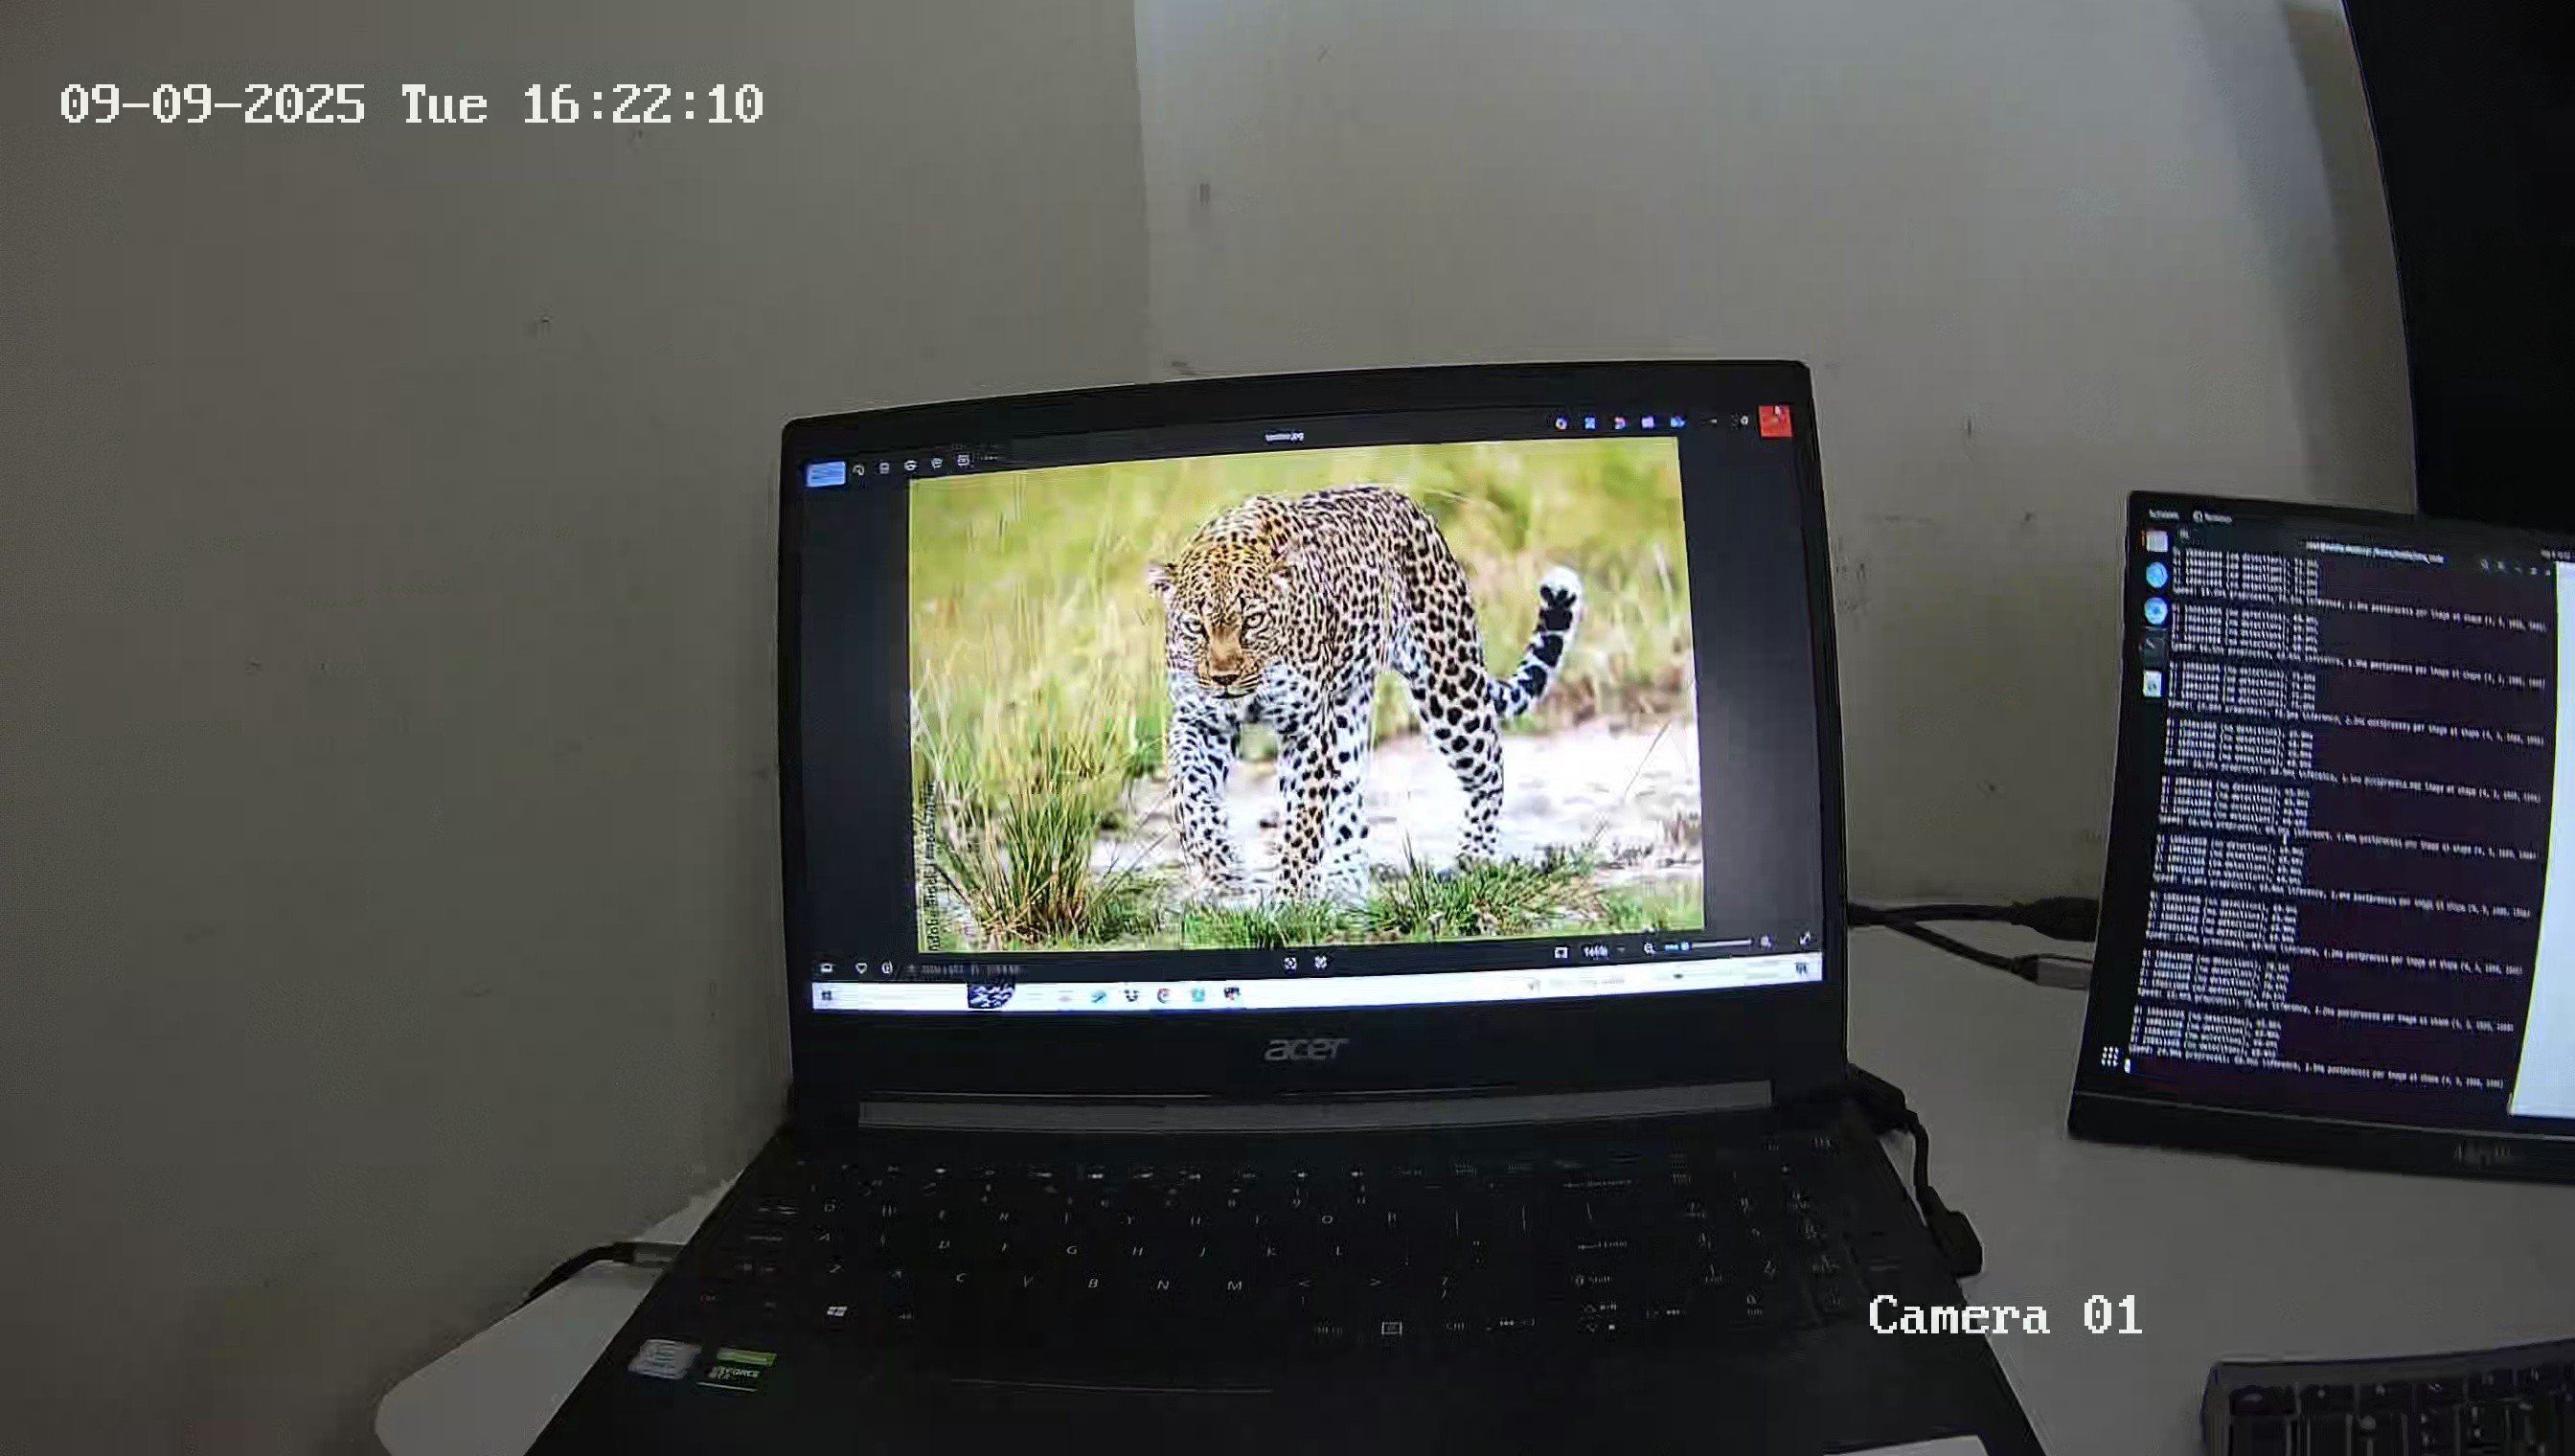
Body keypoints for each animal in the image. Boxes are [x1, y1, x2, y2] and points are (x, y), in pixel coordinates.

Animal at [1145, 484, 1584, 903]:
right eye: (1195, 626)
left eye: (1253, 621)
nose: (1225, 678)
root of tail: (1409, 504)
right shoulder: (1199, 722)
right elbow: (1188, 794)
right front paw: (1221, 870)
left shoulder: (1306, 729)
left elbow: (1303, 820)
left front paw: (1291, 900)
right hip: (1349, 708)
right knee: (1350, 797)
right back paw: (1346, 881)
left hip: (1449, 688)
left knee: (1490, 767)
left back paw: (1473, 857)